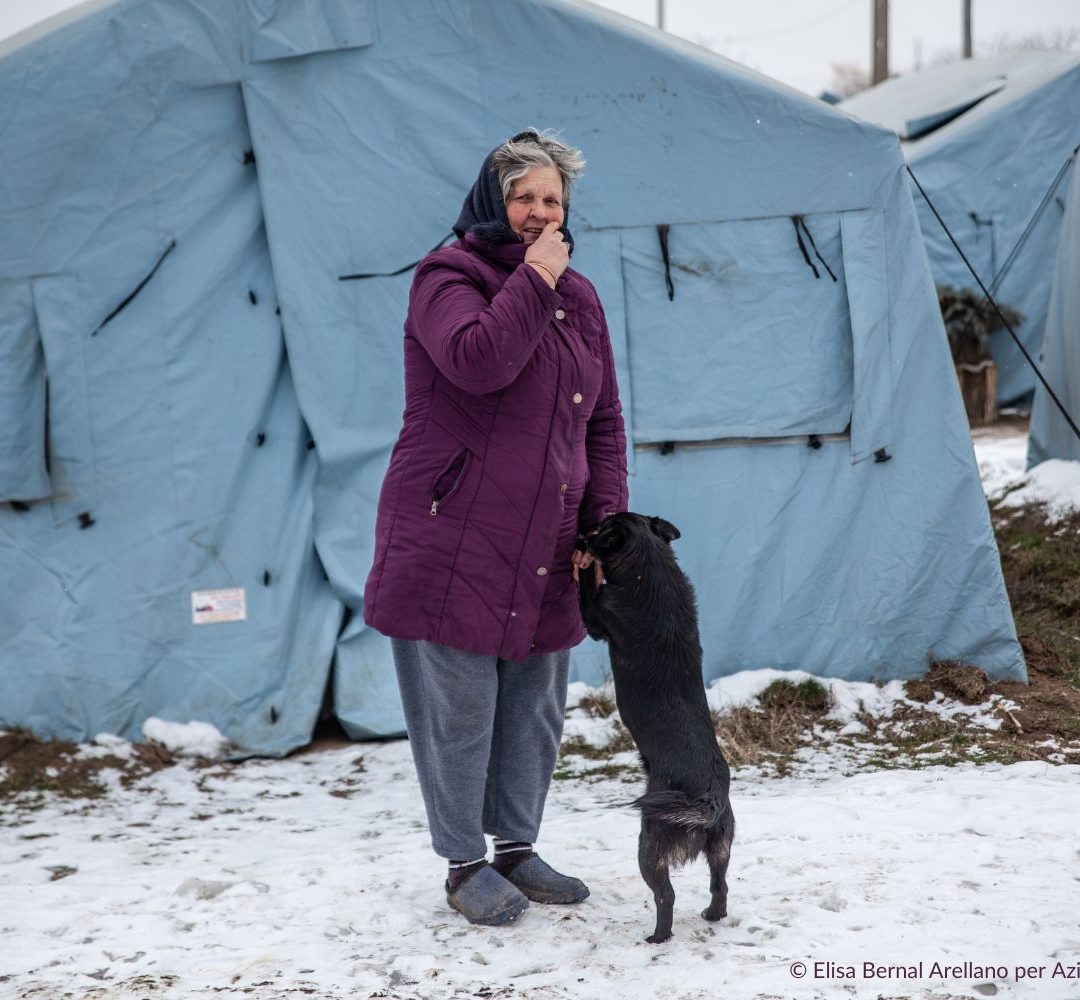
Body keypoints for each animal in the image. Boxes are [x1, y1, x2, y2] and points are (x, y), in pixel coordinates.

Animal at [583, 511, 734, 941]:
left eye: (602, 528)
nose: (582, 531)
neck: (650, 567)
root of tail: (709, 799)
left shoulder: (597, 617)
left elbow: (585, 593)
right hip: (721, 850)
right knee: (720, 884)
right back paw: (713, 914)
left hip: (649, 847)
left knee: (665, 895)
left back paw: (658, 937)